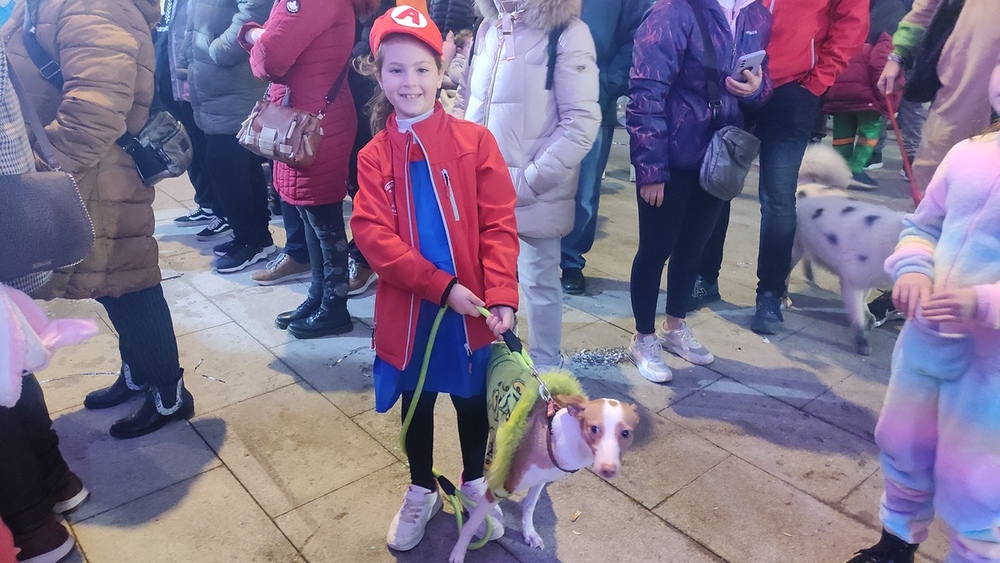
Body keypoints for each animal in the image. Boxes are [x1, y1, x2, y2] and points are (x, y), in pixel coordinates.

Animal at [448, 396, 640, 563]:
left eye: (625, 433)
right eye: (594, 428)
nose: (608, 470)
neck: (558, 439)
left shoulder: (540, 479)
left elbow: (529, 506)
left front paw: (529, 533)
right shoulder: (500, 488)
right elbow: (470, 527)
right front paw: (458, 553)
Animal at [796, 145, 908, 356]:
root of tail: (803, 183)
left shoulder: (870, 279)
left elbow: (864, 301)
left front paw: (871, 320)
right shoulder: (851, 280)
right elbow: (856, 314)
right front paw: (864, 348)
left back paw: (810, 278)